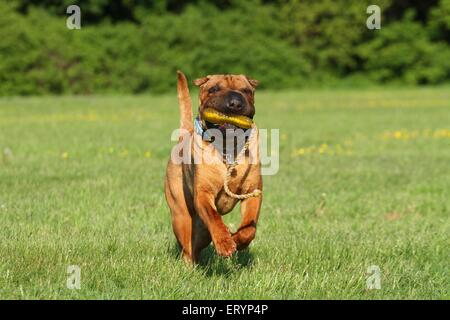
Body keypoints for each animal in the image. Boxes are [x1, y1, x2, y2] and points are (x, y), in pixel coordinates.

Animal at [164, 71, 264, 264]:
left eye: (246, 90)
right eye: (214, 89)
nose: (235, 102)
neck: (228, 147)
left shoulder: (253, 192)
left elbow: (249, 228)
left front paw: (237, 240)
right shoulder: (203, 193)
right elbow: (214, 217)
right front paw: (225, 243)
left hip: (201, 231)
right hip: (181, 215)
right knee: (187, 248)